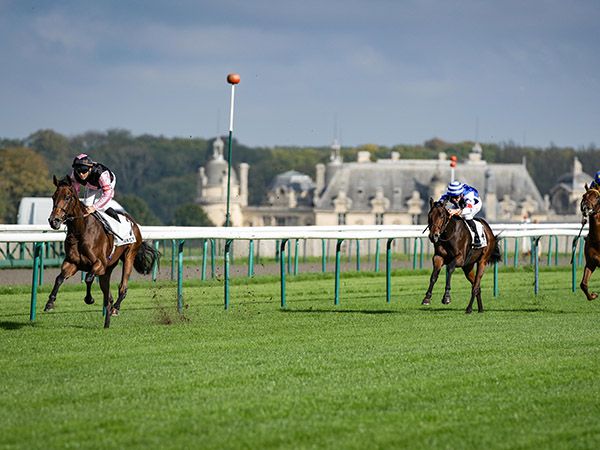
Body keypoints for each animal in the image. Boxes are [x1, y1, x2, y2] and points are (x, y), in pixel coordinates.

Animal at [46, 175, 159, 326]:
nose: (54, 221)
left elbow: (88, 278)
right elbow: (59, 278)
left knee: (123, 286)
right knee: (107, 289)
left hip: (129, 256)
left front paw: (89, 299)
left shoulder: (99, 264)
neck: (81, 231)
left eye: (68, 197)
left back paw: (115, 308)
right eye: (53, 197)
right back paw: (109, 306)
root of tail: (133, 222)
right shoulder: (72, 263)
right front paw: (50, 303)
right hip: (109, 267)